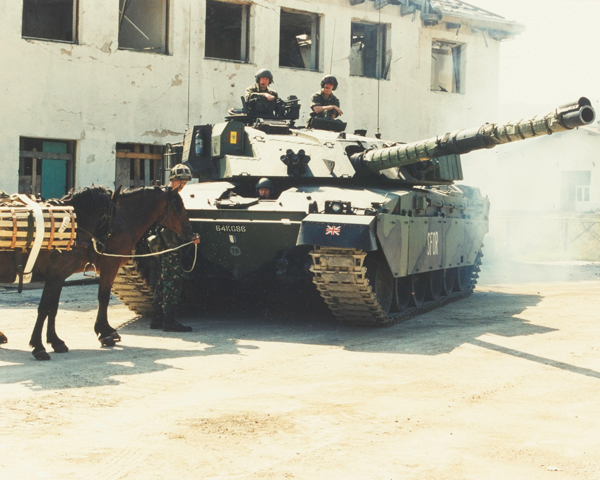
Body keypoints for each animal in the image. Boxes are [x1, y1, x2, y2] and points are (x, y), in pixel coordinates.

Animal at [0, 186, 192, 358]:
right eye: (179, 205)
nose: (188, 230)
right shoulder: (103, 266)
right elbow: (99, 298)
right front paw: (39, 346)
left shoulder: (59, 277)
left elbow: (52, 308)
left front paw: (55, 341)